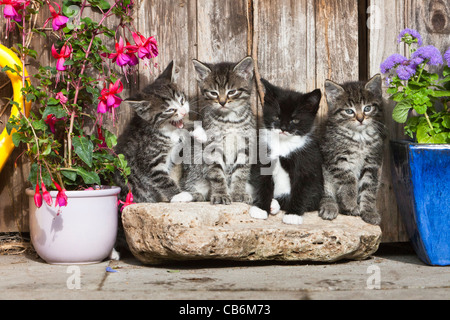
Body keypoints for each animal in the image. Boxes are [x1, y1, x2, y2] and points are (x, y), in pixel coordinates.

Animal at [113, 61, 191, 204]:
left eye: (182, 100)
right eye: (170, 110)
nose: (183, 112)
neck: (163, 130)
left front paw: (199, 131)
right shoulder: (149, 161)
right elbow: (162, 180)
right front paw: (179, 195)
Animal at [172, 57, 256, 205]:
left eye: (232, 92)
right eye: (213, 93)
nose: (222, 102)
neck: (230, 120)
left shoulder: (245, 145)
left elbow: (241, 172)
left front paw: (238, 193)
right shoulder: (212, 147)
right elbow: (217, 174)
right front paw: (221, 195)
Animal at [250, 79, 324, 225]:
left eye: (295, 120)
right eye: (276, 117)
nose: (283, 128)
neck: (283, 144)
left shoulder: (308, 160)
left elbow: (302, 189)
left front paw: (293, 215)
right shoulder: (263, 155)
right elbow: (262, 183)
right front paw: (260, 208)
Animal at [320, 74, 386, 225]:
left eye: (367, 108)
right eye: (349, 111)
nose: (360, 119)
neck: (359, 137)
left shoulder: (371, 163)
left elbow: (369, 188)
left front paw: (369, 211)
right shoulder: (336, 158)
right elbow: (349, 179)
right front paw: (350, 202)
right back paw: (330, 206)